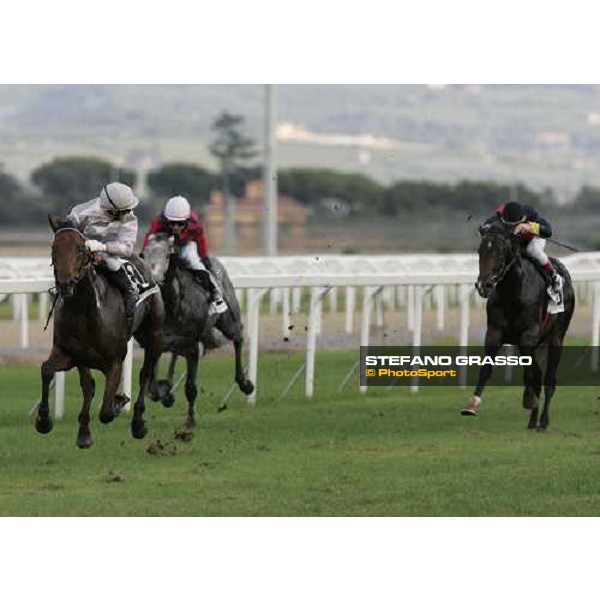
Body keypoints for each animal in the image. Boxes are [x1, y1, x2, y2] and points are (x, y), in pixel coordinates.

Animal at [37, 218, 164, 448]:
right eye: (54, 249)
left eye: (80, 249)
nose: (65, 284)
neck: (85, 310)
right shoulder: (71, 354)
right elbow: (51, 371)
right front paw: (46, 421)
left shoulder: (114, 360)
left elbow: (105, 411)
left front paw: (119, 401)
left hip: (155, 336)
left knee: (145, 374)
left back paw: (138, 423)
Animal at [145, 231, 253, 426]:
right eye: (144, 254)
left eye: (166, 255)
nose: (154, 279)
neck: (173, 304)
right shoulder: (158, 343)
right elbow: (152, 388)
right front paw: (166, 392)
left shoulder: (193, 346)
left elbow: (190, 387)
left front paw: (190, 420)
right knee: (175, 354)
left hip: (227, 321)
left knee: (238, 337)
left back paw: (245, 383)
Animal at [462, 223, 576, 428]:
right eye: (480, 250)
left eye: (501, 252)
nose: (484, 285)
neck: (513, 294)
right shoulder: (494, 333)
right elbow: (486, 369)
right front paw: (471, 405)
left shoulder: (529, 335)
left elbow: (531, 373)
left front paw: (529, 399)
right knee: (538, 374)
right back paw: (532, 421)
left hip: (557, 336)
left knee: (549, 378)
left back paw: (543, 421)